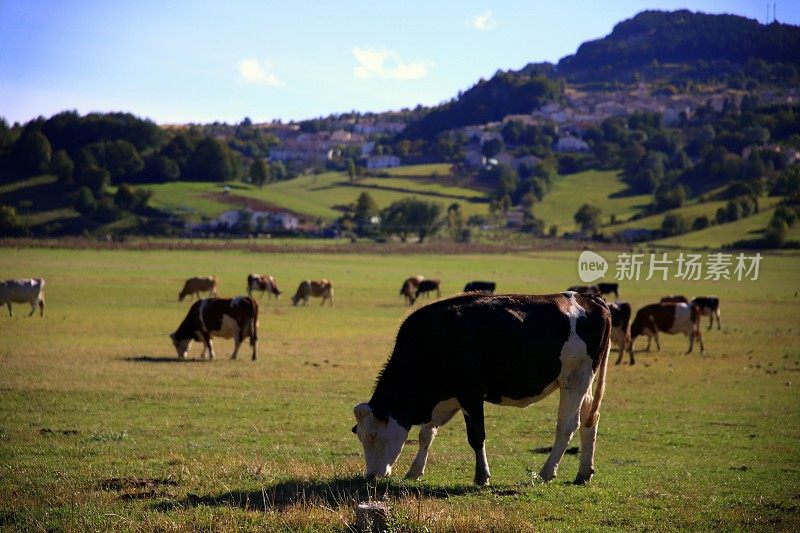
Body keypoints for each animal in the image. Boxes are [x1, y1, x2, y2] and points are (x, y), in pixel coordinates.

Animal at [352, 290, 612, 486]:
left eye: (373, 435)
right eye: (361, 437)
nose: (371, 476)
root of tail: (589, 298)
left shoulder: (470, 394)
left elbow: (477, 437)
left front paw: (482, 476)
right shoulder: (443, 399)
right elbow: (426, 434)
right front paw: (415, 471)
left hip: (574, 380)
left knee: (567, 426)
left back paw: (547, 472)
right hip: (584, 382)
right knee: (590, 420)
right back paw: (583, 473)